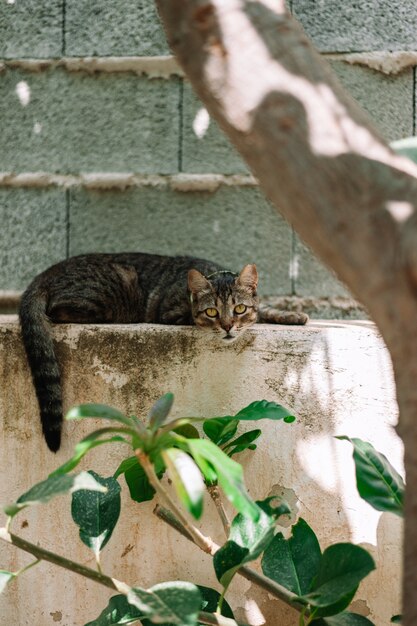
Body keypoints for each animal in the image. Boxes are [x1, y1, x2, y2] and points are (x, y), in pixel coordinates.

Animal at [18, 251, 306, 450]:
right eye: (212, 312)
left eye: (239, 309)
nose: (227, 327)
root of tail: (48, 272)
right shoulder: (173, 313)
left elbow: (266, 309)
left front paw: (292, 315)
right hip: (112, 290)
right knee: (57, 310)